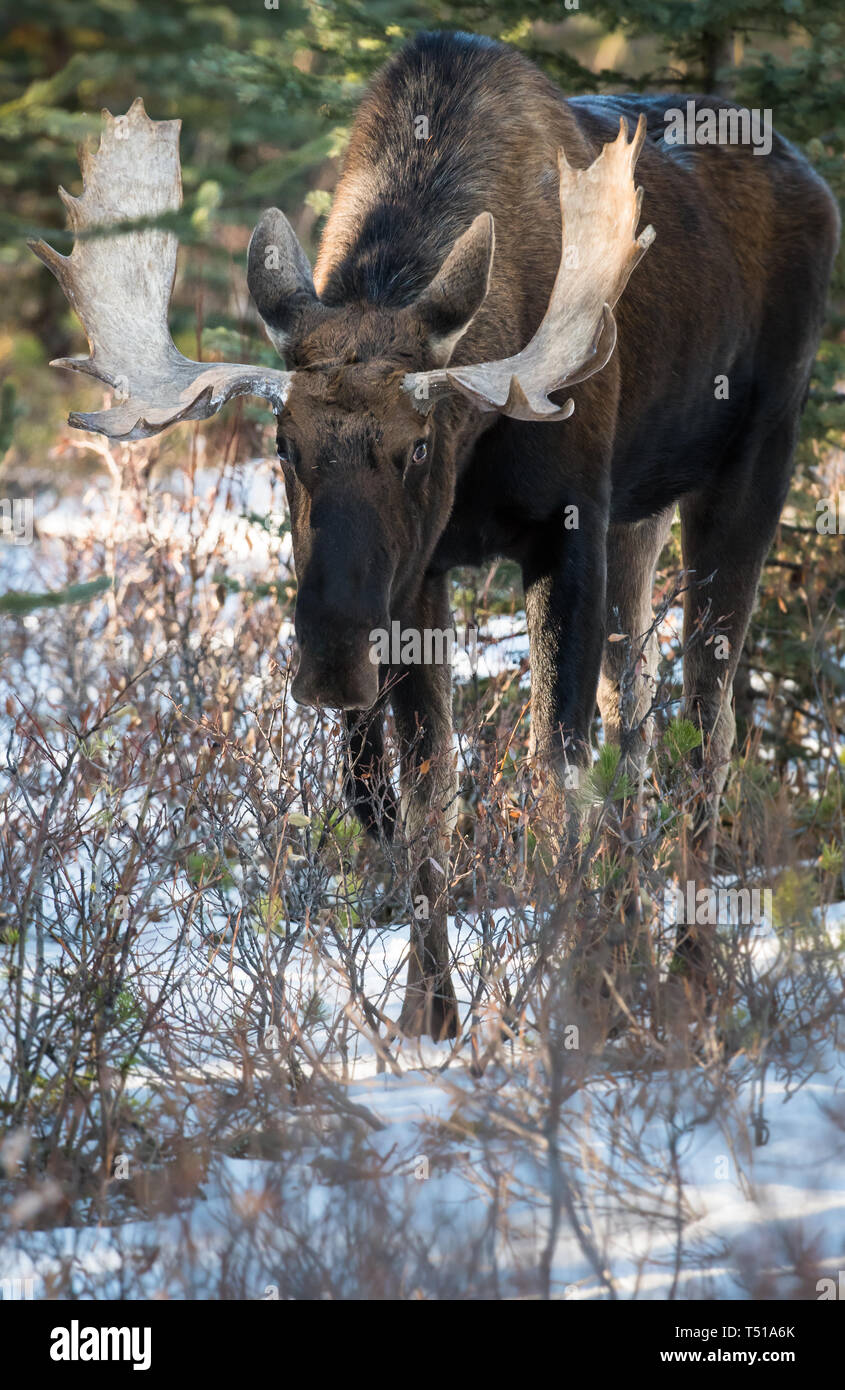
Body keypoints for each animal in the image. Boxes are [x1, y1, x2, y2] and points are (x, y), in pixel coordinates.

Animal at [30, 31, 839, 1041]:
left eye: (417, 445)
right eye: (283, 445)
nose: (330, 657)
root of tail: (812, 176)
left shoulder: (567, 527)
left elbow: (554, 768)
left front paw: (570, 1000)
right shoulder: (424, 573)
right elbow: (426, 788)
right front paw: (432, 1017)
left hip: (753, 459)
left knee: (709, 724)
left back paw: (690, 983)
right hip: (640, 515)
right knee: (641, 717)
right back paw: (637, 972)